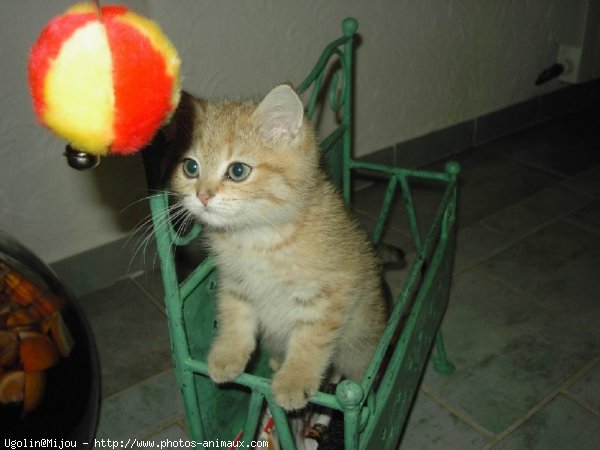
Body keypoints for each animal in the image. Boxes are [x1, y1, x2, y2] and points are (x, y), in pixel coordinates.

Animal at [169, 84, 386, 412]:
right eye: (190, 167)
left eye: (237, 171)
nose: (202, 195)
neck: (255, 238)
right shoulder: (235, 282)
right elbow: (234, 316)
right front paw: (228, 353)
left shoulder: (332, 291)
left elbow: (312, 337)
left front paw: (295, 378)